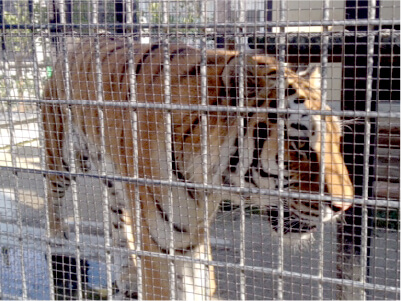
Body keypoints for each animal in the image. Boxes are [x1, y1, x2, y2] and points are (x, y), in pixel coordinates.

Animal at [42, 38, 352, 300]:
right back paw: (57, 238)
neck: (207, 181)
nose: (345, 206)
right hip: (62, 153)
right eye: (300, 144)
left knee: (117, 220)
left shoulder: (191, 231)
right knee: (53, 190)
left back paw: (128, 275)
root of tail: (75, 42)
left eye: (337, 139)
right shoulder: (158, 238)